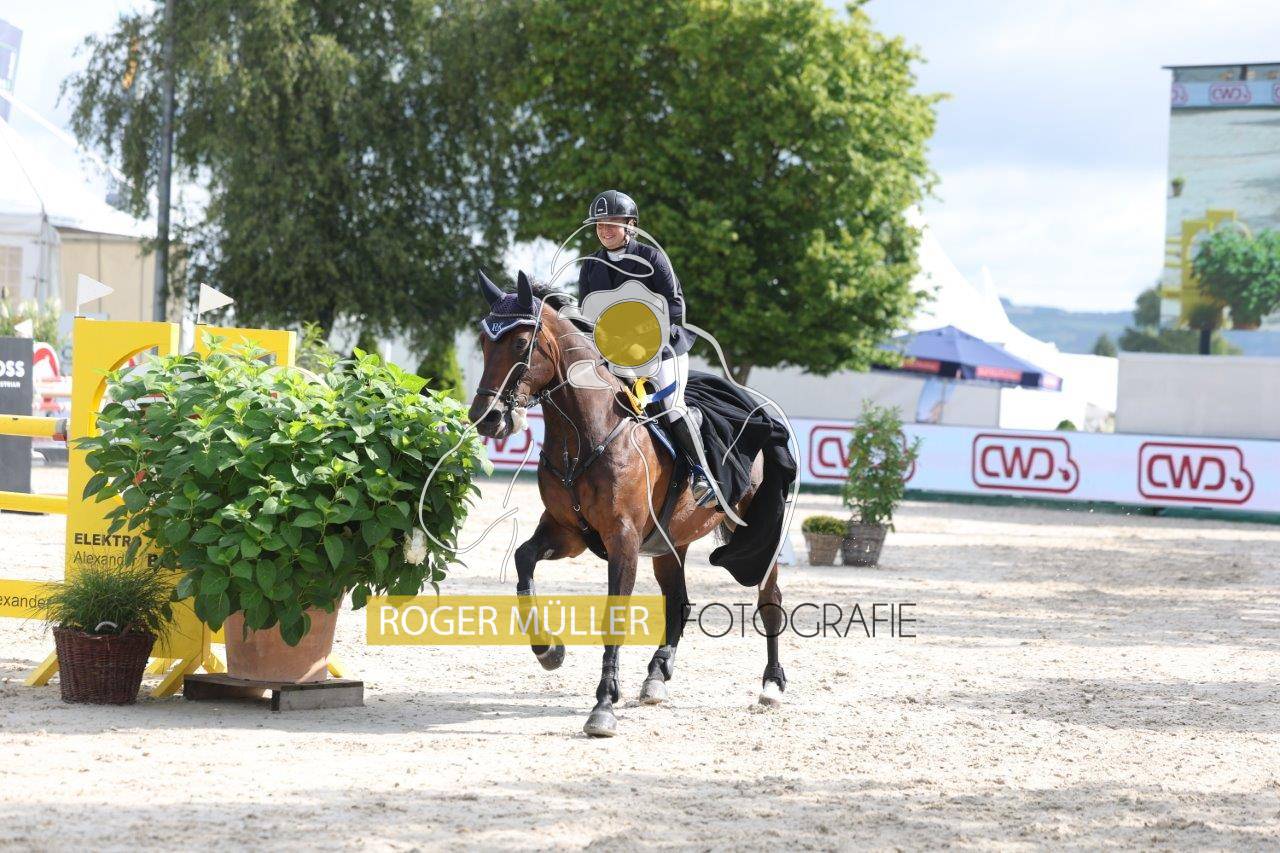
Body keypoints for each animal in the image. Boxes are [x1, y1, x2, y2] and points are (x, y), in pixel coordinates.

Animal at [468, 270, 787, 737]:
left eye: (522, 343)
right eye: (484, 341)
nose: (487, 418)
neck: (584, 434)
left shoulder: (622, 539)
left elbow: (614, 616)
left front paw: (602, 706)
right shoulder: (567, 532)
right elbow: (524, 561)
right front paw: (548, 651)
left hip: (758, 532)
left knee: (769, 600)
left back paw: (772, 686)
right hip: (670, 542)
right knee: (678, 602)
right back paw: (656, 677)